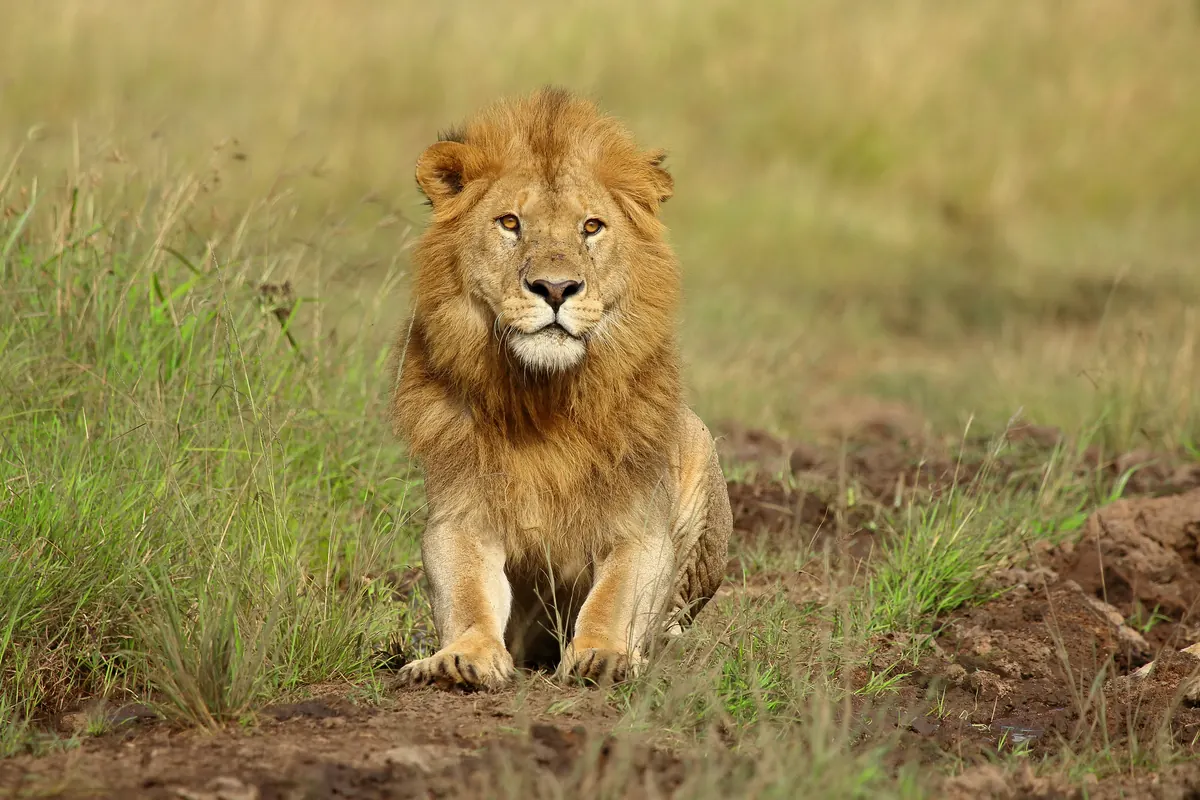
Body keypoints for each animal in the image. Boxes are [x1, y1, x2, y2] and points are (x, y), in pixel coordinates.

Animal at [389, 87, 732, 690]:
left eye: (591, 227)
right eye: (509, 223)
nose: (554, 288)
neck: (545, 398)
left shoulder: (640, 527)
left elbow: (614, 599)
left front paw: (607, 656)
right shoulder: (459, 518)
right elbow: (467, 595)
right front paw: (458, 659)